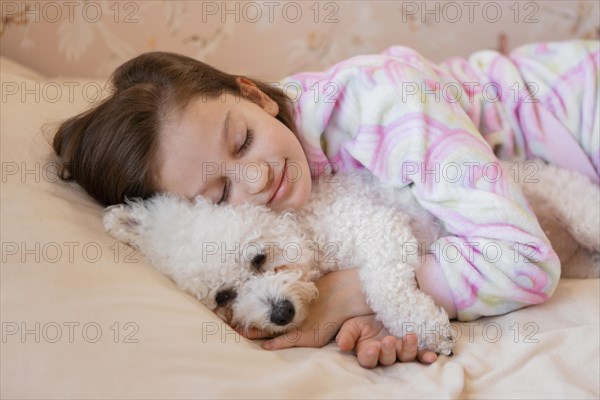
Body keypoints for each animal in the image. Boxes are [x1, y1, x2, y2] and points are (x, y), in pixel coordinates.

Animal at [104, 161, 600, 354]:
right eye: (223, 296)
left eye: (259, 258)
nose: (280, 313)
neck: (307, 226)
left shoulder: (377, 227)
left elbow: (387, 285)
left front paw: (427, 329)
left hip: (579, 213)